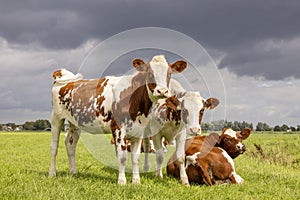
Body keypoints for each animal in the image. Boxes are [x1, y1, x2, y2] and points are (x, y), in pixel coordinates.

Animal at [48, 54, 188, 184]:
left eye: (169, 73)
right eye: (149, 73)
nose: (162, 91)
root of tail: (69, 81)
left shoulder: (139, 130)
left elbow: (135, 157)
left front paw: (136, 181)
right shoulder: (119, 128)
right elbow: (122, 156)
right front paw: (122, 181)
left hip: (74, 123)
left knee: (70, 144)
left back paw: (73, 171)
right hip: (56, 118)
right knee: (54, 147)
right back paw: (52, 173)